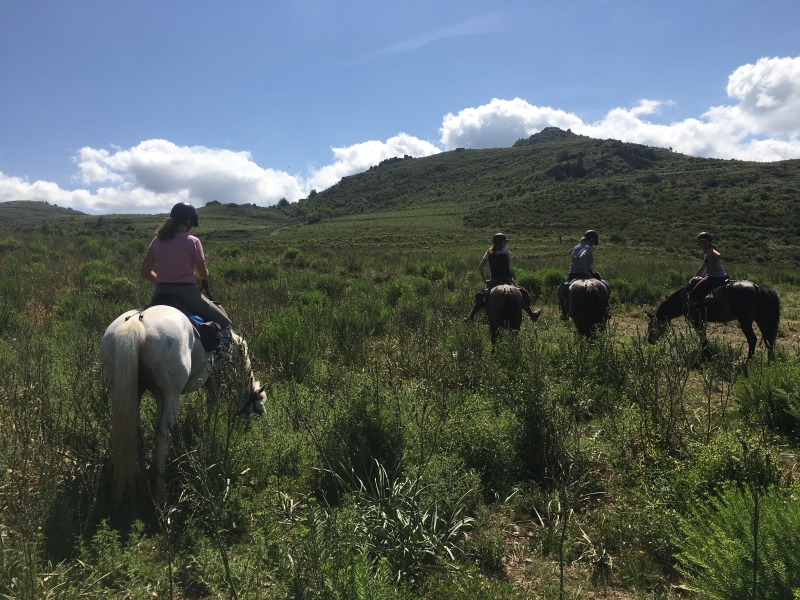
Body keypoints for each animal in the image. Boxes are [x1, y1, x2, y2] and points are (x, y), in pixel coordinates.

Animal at [101, 304, 266, 502]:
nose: (248, 425)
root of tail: (137, 322)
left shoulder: (160, 397)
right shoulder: (214, 385)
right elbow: (212, 407)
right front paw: (206, 430)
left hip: (135, 393)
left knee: (139, 439)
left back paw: (145, 488)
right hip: (173, 397)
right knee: (162, 439)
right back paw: (161, 495)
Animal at [648, 278, 780, 358]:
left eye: (651, 325)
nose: (650, 340)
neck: (683, 298)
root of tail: (757, 287)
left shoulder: (696, 321)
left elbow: (703, 338)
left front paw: (707, 356)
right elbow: (703, 337)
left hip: (745, 321)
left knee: (752, 339)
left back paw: (749, 361)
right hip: (761, 320)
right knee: (768, 340)